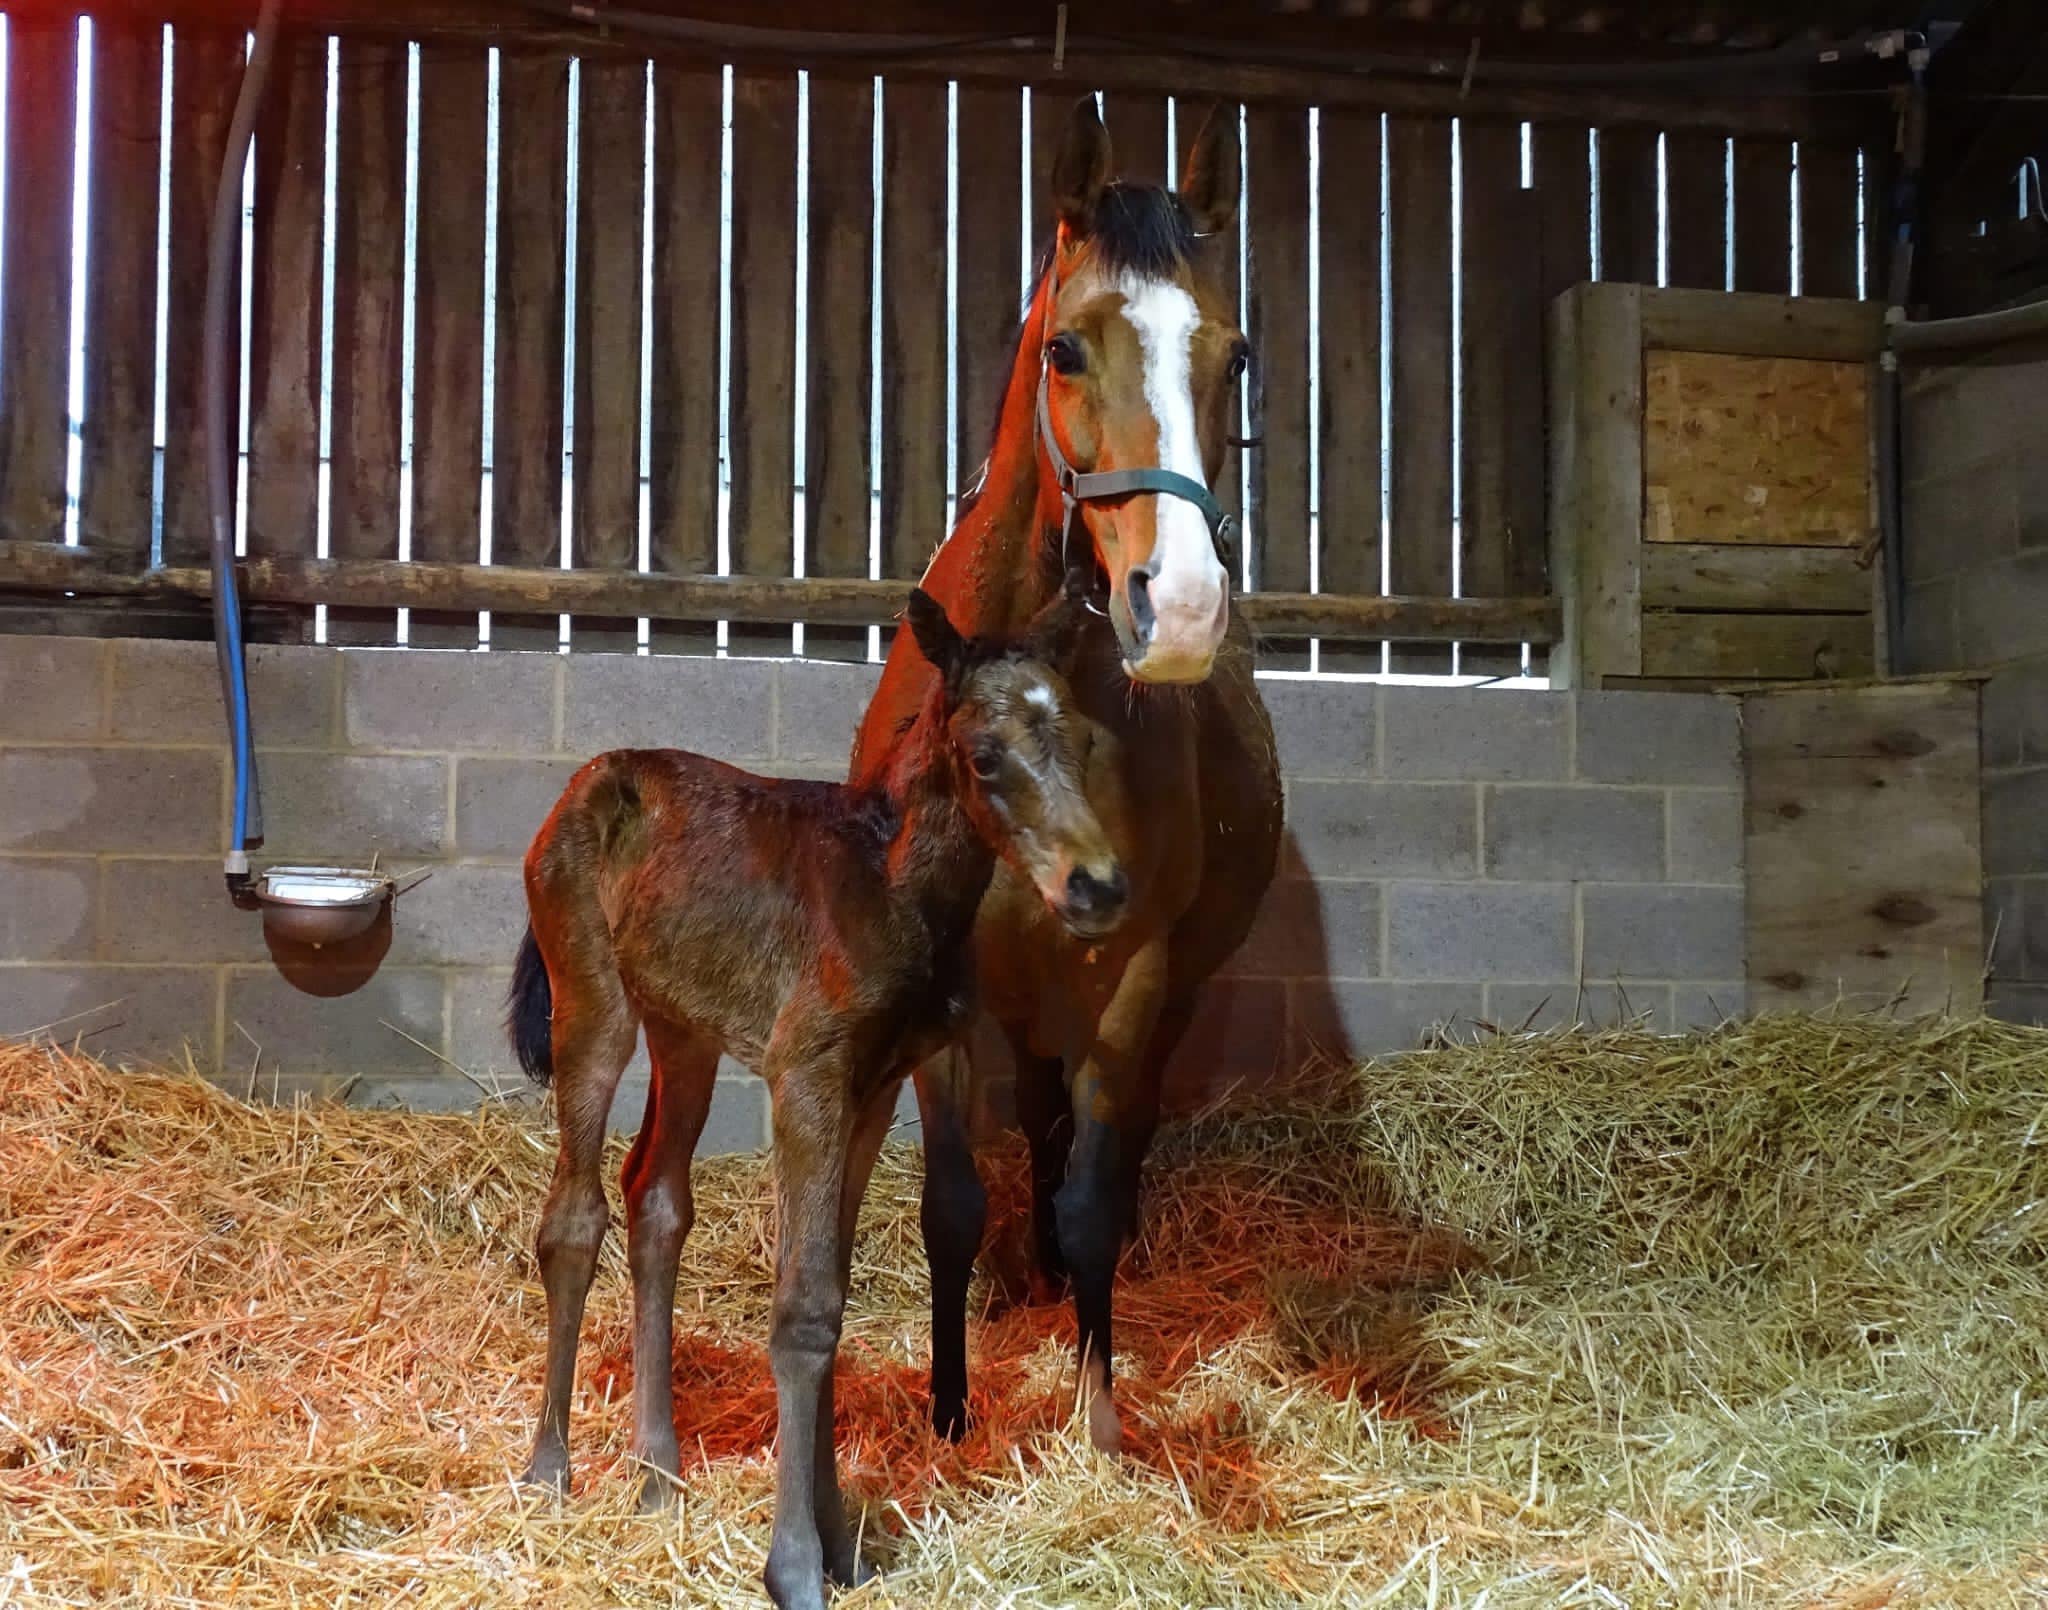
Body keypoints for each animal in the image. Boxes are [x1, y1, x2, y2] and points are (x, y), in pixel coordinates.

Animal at [505, 585, 1130, 1605]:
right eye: (986, 756)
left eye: (1080, 741)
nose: (1099, 888)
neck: (893, 888)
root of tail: (589, 780)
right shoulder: (808, 1078)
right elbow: (803, 1310)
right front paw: (795, 1564)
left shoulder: (870, 1090)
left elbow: (829, 1286)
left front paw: (843, 1545)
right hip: (590, 1004)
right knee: (573, 1216)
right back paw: (549, 1470)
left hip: (687, 1032)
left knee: (655, 1200)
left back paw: (658, 1475)